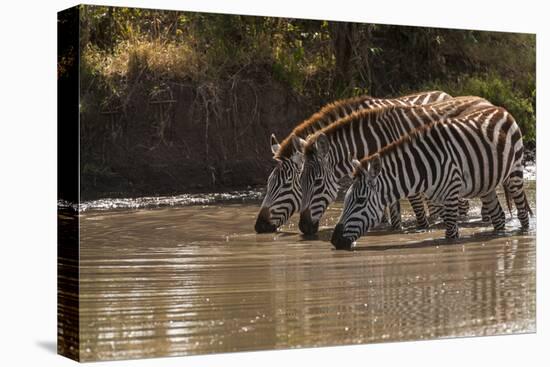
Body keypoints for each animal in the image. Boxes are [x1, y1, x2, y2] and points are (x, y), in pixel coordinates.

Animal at [298, 97, 500, 236]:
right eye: (300, 181)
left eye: (318, 182)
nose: (303, 227)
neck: (375, 141)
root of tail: (484, 100)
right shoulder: (384, 176)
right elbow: (393, 211)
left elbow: (417, 209)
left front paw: (422, 229)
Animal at [332, 105, 536, 252]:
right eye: (346, 199)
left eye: (360, 200)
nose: (334, 240)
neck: (421, 168)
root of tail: (501, 109)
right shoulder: (438, 198)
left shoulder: (452, 194)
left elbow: (451, 235)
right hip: (486, 185)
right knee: (499, 216)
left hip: (515, 173)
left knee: (522, 213)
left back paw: (524, 234)